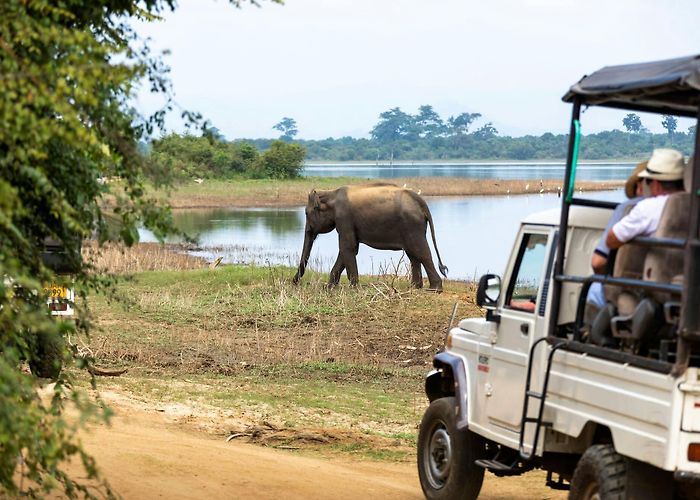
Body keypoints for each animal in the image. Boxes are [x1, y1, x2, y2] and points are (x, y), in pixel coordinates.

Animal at [292, 183, 448, 290]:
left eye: (306, 213)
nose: (294, 282)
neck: (331, 193)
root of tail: (421, 202)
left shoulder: (344, 218)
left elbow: (347, 247)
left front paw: (352, 287)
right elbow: (349, 249)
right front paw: (330, 288)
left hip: (412, 224)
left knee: (421, 251)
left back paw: (434, 289)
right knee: (413, 254)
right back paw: (415, 287)